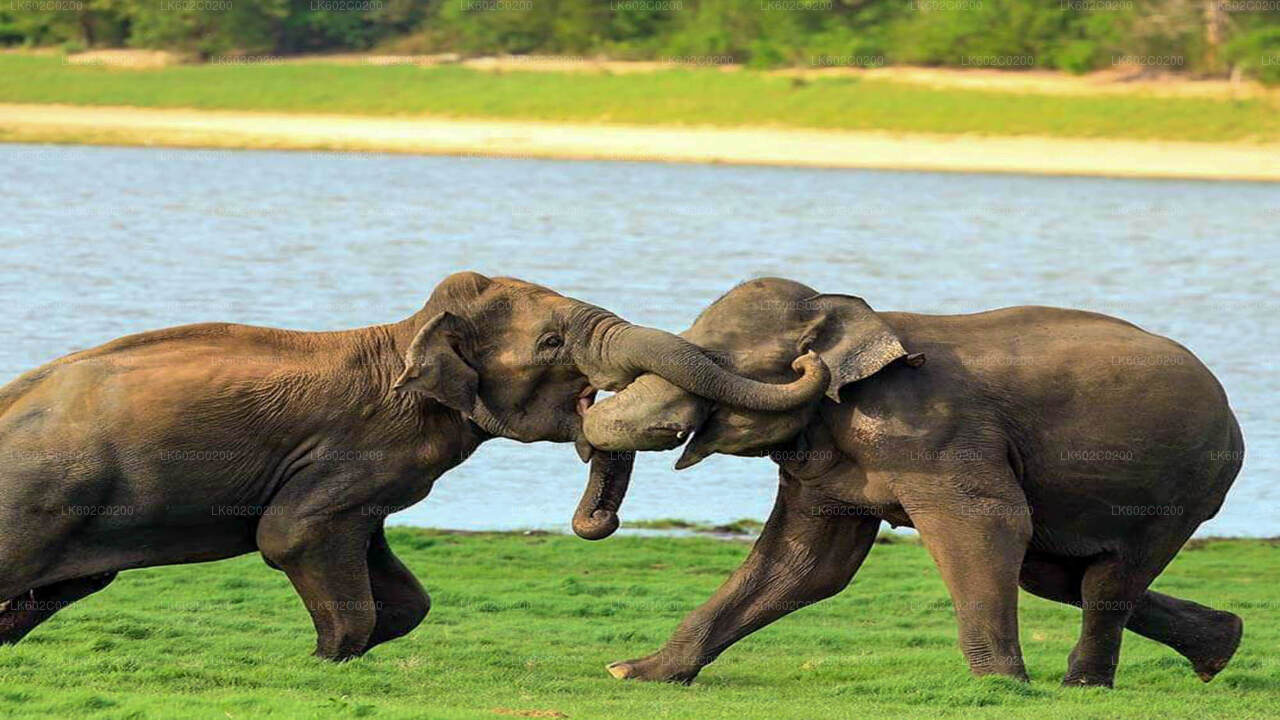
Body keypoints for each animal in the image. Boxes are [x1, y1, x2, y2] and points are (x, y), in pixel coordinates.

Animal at [586, 278, 1244, 686]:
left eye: (716, 361)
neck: (857, 321)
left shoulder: (935, 431)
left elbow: (989, 524)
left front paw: (1001, 686)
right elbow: (807, 563)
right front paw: (634, 672)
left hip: (1184, 487)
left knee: (1110, 577)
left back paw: (1083, 686)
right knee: (1059, 577)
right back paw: (1221, 649)